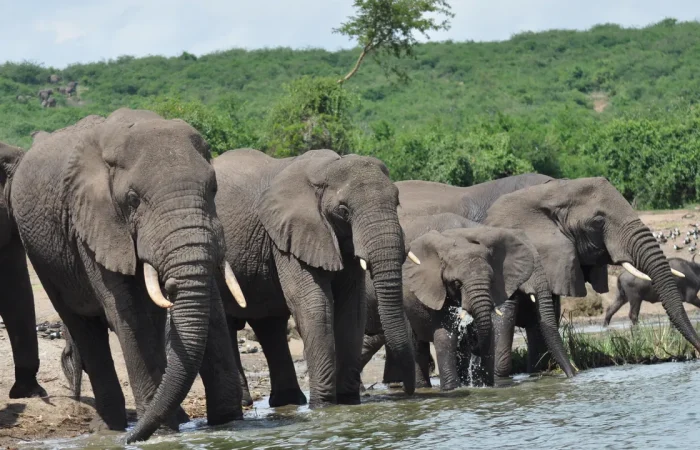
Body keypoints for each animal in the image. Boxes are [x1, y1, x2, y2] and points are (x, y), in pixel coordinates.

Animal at [2, 108, 248, 443]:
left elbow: (210, 307)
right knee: (83, 326)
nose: (129, 441)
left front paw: (227, 422)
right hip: (42, 256)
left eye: (213, 190)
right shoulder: (92, 223)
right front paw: (159, 432)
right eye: (133, 200)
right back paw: (114, 427)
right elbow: (128, 313)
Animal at [213, 148, 414, 408]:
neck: (326, 169)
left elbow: (352, 309)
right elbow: (314, 305)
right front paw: (323, 405)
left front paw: (348, 401)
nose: (409, 392)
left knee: (269, 323)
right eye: (343, 211)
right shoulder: (288, 237)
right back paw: (249, 402)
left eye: (397, 202)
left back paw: (288, 401)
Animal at [360, 213, 574, 390]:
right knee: (415, 343)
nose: (573, 375)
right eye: (456, 283)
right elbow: (445, 335)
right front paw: (453, 389)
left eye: (491, 279)